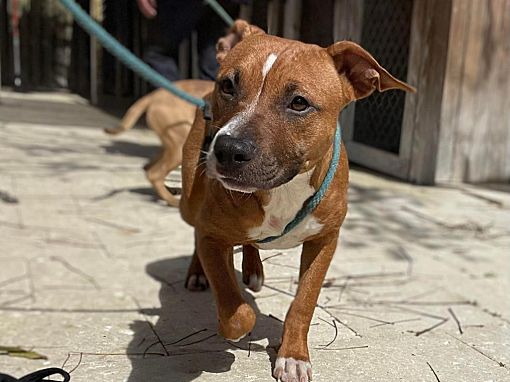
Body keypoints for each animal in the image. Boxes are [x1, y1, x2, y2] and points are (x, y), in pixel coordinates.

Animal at [105, 79, 213, 207]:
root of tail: (154, 95)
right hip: (180, 147)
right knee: (155, 174)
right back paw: (172, 200)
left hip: (171, 146)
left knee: (149, 167)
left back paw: (170, 191)